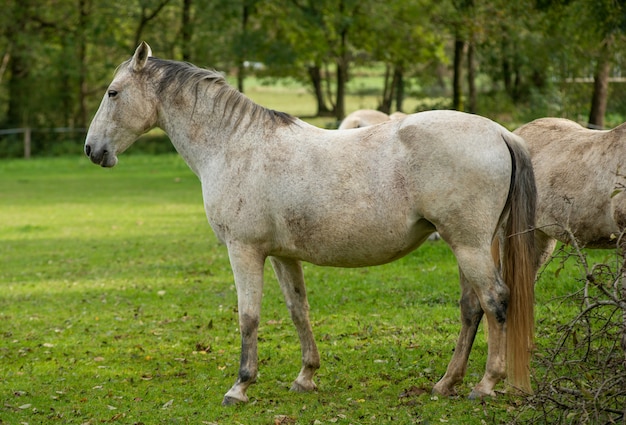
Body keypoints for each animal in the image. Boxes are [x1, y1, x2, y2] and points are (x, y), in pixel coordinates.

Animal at [84, 43, 536, 404]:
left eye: (112, 92)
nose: (92, 150)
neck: (234, 145)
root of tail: (499, 132)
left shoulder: (243, 251)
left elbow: (248, 316)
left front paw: (240, 386)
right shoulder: (282, 256)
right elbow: (298, 309)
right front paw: (306, 376)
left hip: (469, 246)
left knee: (495, 301)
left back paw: (485, 385)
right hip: (466, 246)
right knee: (471, 309)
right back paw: (446, 384)